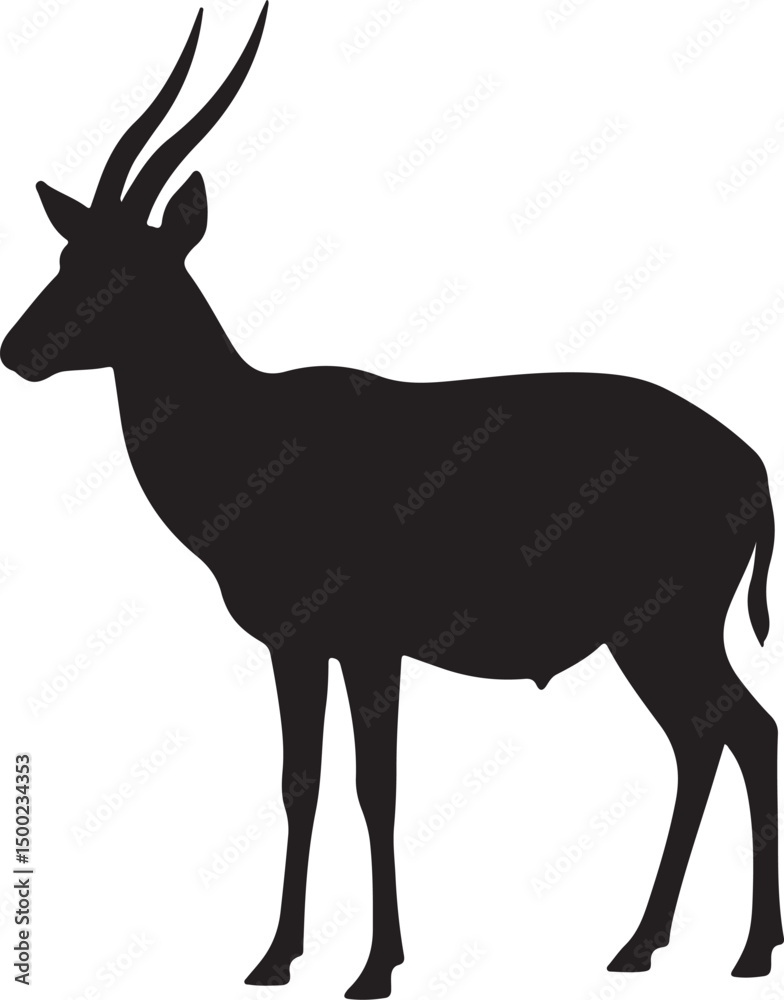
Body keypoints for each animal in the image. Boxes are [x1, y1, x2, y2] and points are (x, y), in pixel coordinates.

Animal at [2, 3, 782, 996]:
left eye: (131, 265)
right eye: (70, 250)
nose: (15, 350)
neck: (254, 437)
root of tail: (754, 466)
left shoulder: (373, 644)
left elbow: (379, 786)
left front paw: (373, 968)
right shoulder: (297, 645)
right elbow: (300, 783)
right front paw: (274, 958)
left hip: (666, 628)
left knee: (743, 733)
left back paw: (743, 951)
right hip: (652, 638)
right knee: (707, 741)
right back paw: (645, 945)